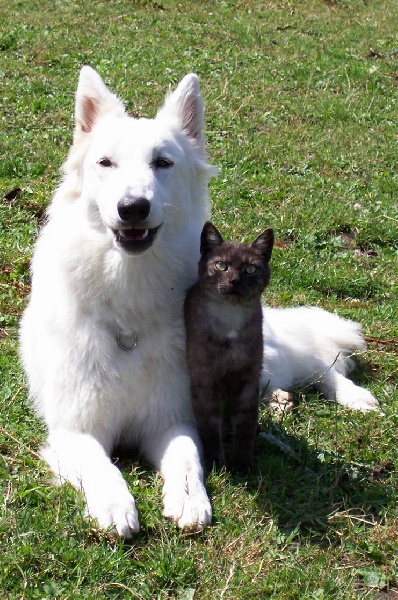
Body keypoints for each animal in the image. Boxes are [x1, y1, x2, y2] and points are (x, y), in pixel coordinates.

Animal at [19, 67, 380, 540]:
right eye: (105, 163)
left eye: (163, 163)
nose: (133, 208)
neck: (129, 306)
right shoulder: (75, 431)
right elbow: (103, 466)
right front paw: (116, 504)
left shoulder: (175, 418)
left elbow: (188, 459)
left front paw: (190, 499)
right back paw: (283, 400)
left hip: (265, 357)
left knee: (321, 363)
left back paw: (353, 395)